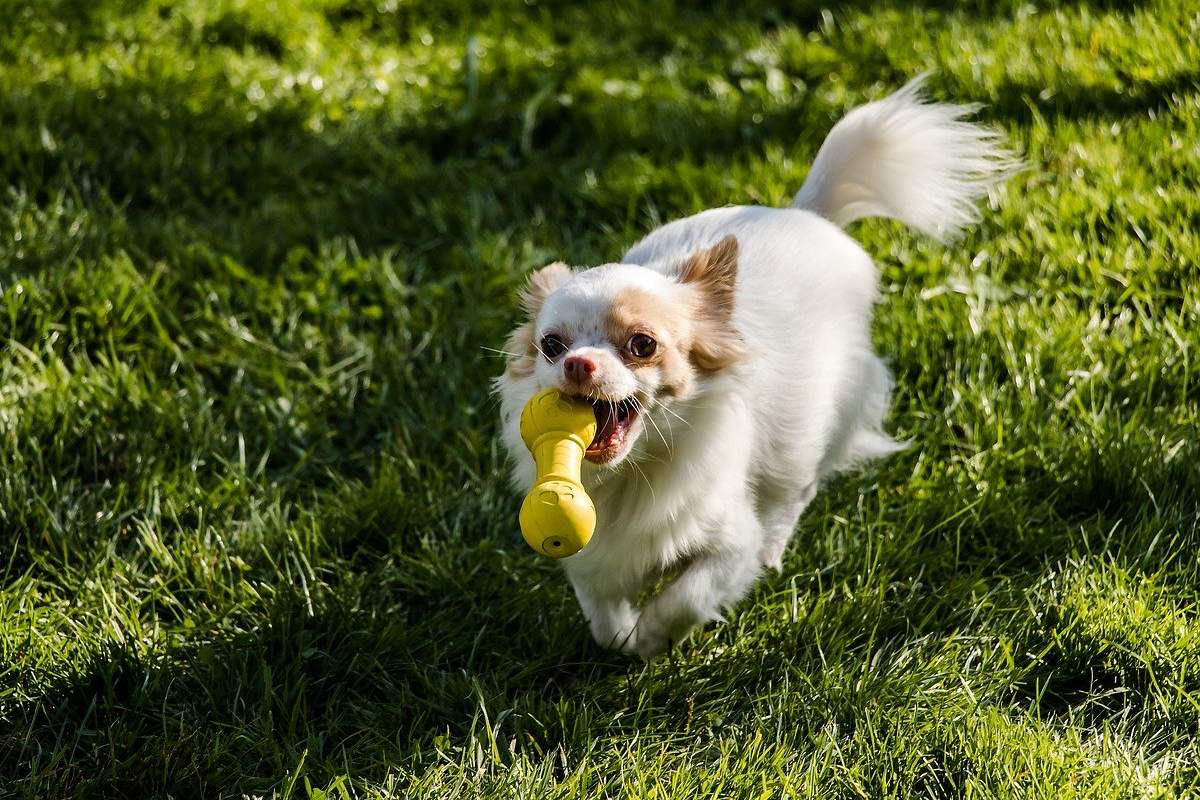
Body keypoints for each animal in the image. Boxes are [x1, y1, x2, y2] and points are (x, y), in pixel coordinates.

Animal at [494, 77, 1012, 662]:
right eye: (551, 346)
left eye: (642, 345)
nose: (578, 364)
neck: (632, 473)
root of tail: (806, 212)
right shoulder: (593, 555)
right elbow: (602, 614)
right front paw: (626, 637)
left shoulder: (728, 543)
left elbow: (688, 595)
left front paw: (653, 638)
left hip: (807, 435)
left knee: (794, 494)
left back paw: (772, 550)